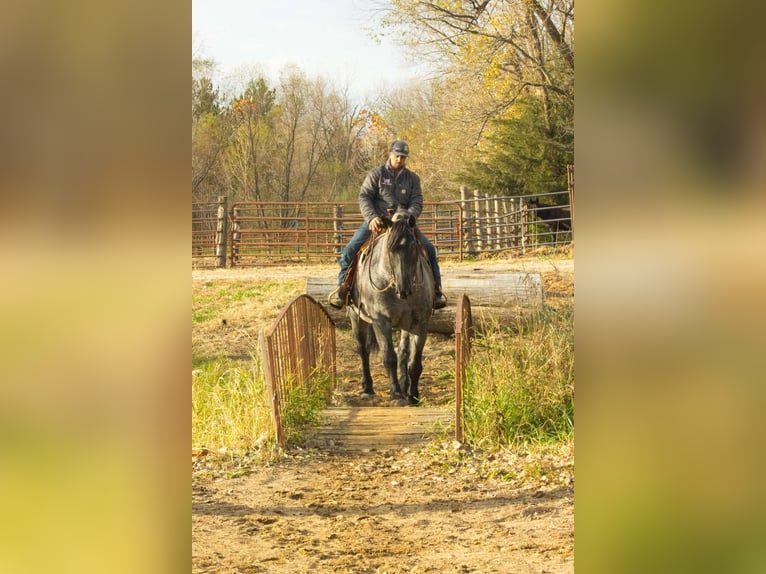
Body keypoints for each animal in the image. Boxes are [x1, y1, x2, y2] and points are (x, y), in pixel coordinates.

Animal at [348, 211, 435, 406]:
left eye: (413, 246)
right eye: (390, 248)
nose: (404, 289)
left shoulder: (420, 323)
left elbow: (413, 362)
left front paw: (412, 395)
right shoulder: (381, 321)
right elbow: (389, 358)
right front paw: (396, 395)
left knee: (403, 352)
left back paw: (404, 385)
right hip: (356, 318)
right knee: (362, 349)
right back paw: (367, 388)